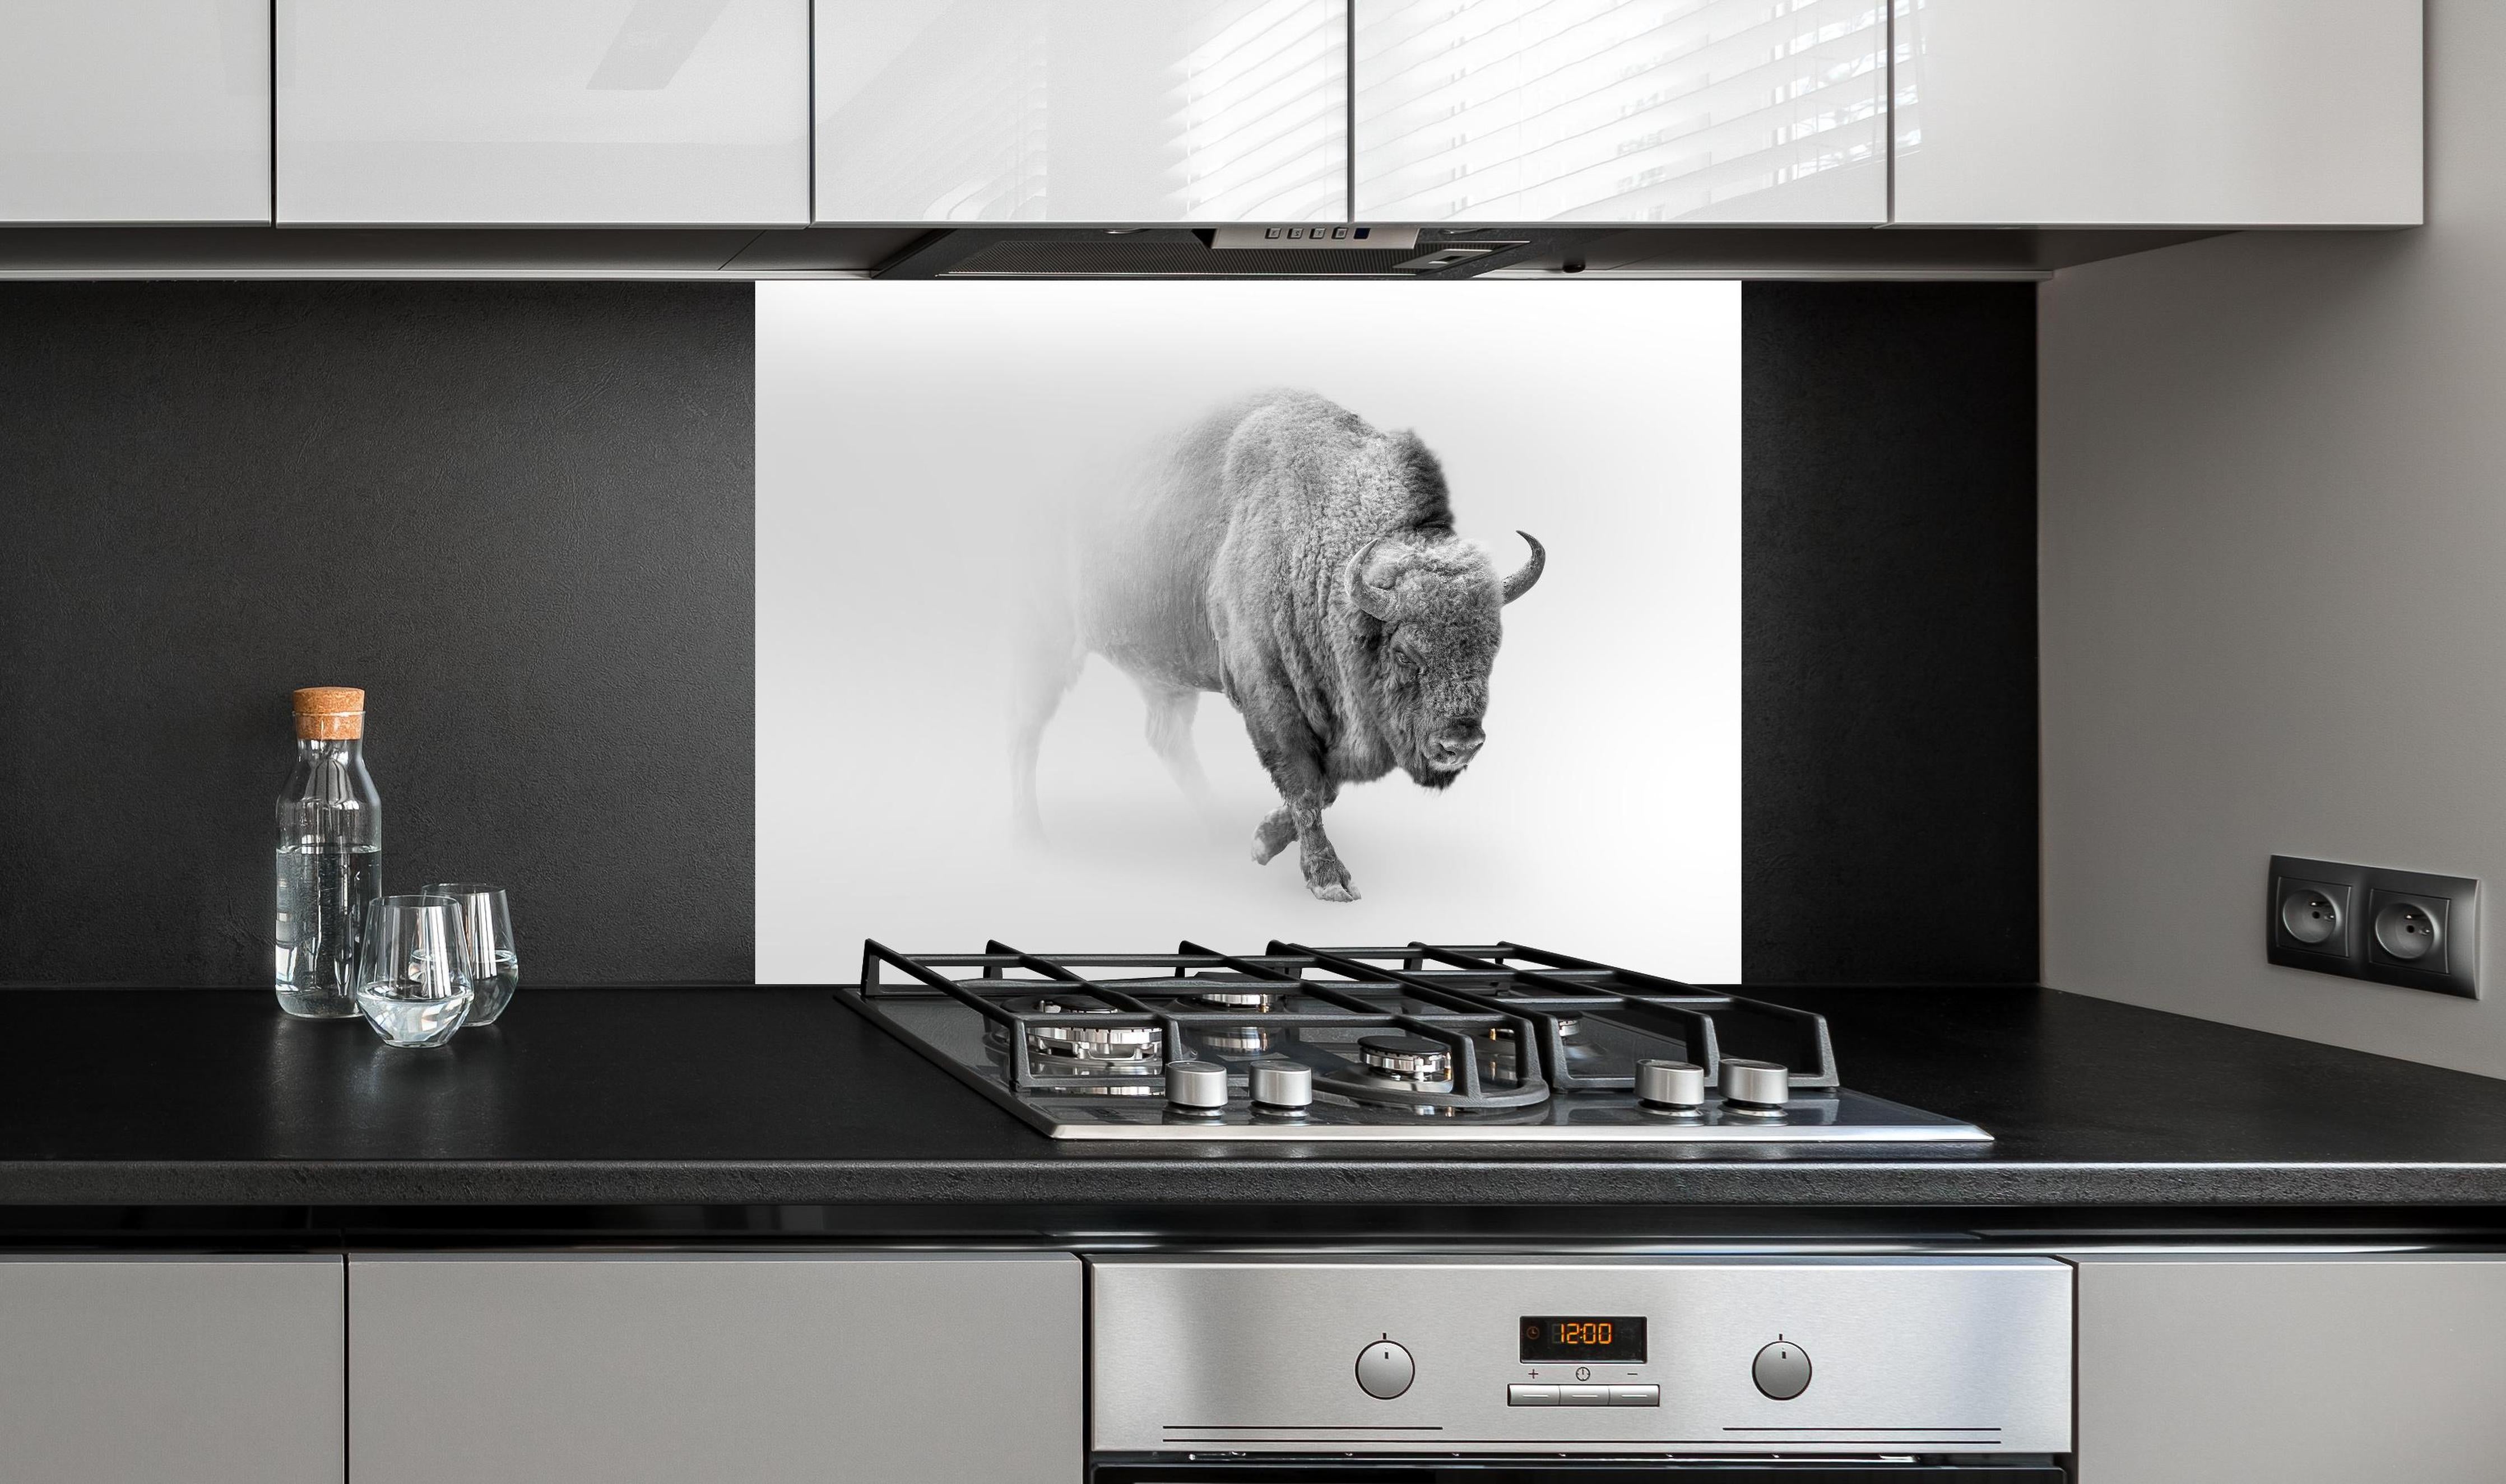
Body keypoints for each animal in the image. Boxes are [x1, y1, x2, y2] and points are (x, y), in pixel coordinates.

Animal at [1011, 389, 1544, 901]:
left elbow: (1325, 786)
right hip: (1048, 639)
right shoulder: (1267, 692)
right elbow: (1305, 783)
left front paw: (1262, 841)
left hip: (1161, 674)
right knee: (1027, 728)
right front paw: (1328, 879)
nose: (1460, 743)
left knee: (1165, 736)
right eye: (1404, 653)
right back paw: (1030, 838)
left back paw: (1218, 828)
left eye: (1492, 648)